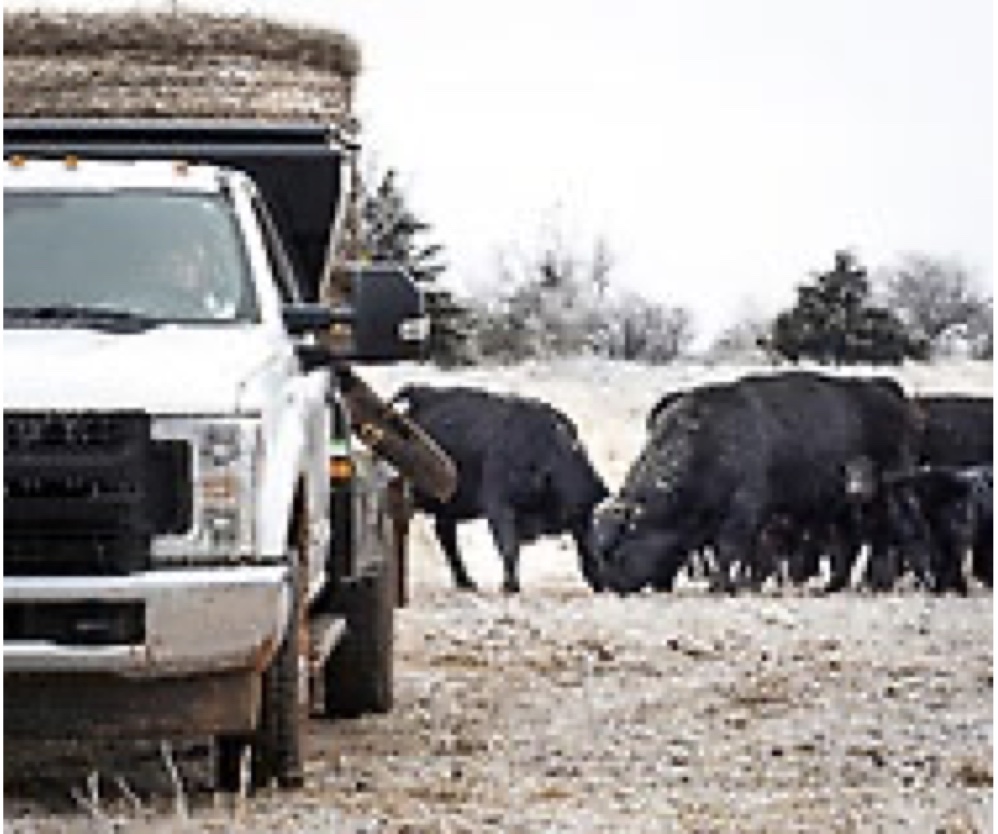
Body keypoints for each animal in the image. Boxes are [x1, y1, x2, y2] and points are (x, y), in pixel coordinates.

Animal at [390, 386, 608, 592]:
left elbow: (590, 552)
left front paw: (599, 584)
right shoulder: (499, 507)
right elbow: (509, 548)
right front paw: (511, 586)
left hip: (450, 507)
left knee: (446, 534)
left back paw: (465, 581)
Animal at [592, 370, 928, 592]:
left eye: (616, 549)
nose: (611, 585)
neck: (705, 441)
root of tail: (892, 398)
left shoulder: (744, 511)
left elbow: (733, 550)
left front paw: (722, 586)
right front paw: (743, 585)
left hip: (892, 494)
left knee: (904, 530)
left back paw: (912, 582)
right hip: (845, 506)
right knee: (851, 542)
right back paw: (837, 585)